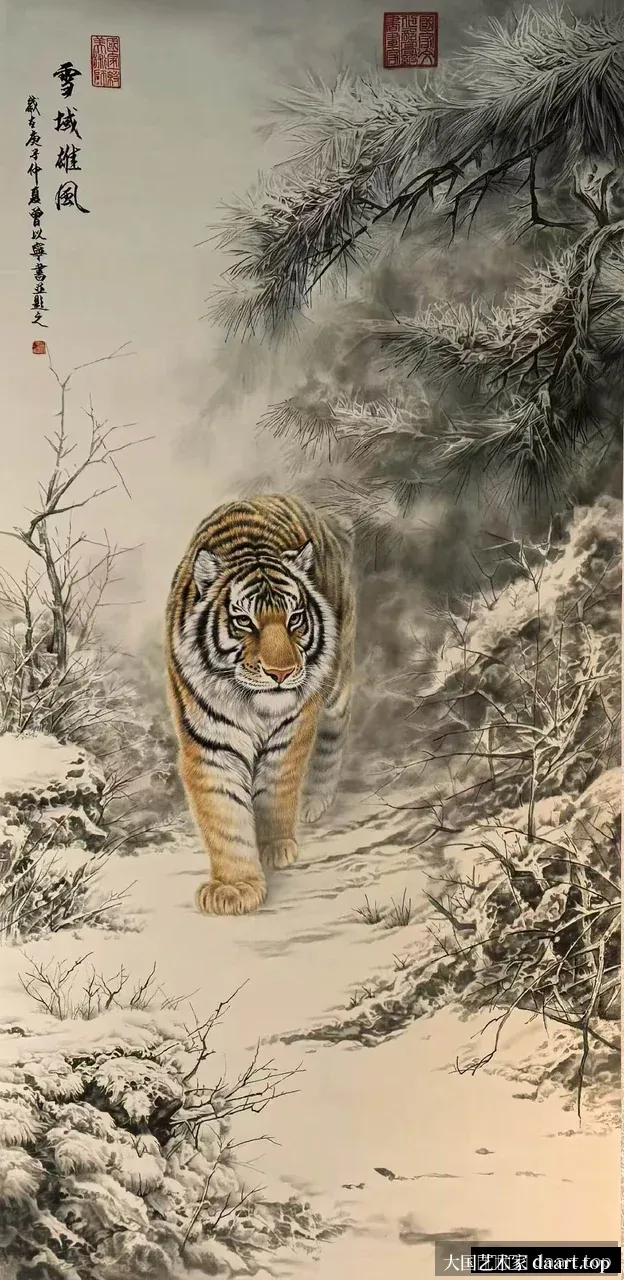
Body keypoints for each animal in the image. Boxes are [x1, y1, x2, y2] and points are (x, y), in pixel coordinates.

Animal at [165, 494, 356, 916]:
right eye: (244, 621)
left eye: (295, 619)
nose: (281, 672)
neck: (255, 707)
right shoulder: (210, 744)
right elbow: (225, 817)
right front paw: (234, 888)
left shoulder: (293, 729)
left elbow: (275, 787)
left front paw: (275, 847)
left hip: (336, 685)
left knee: (336, 730)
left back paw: (316, 802)